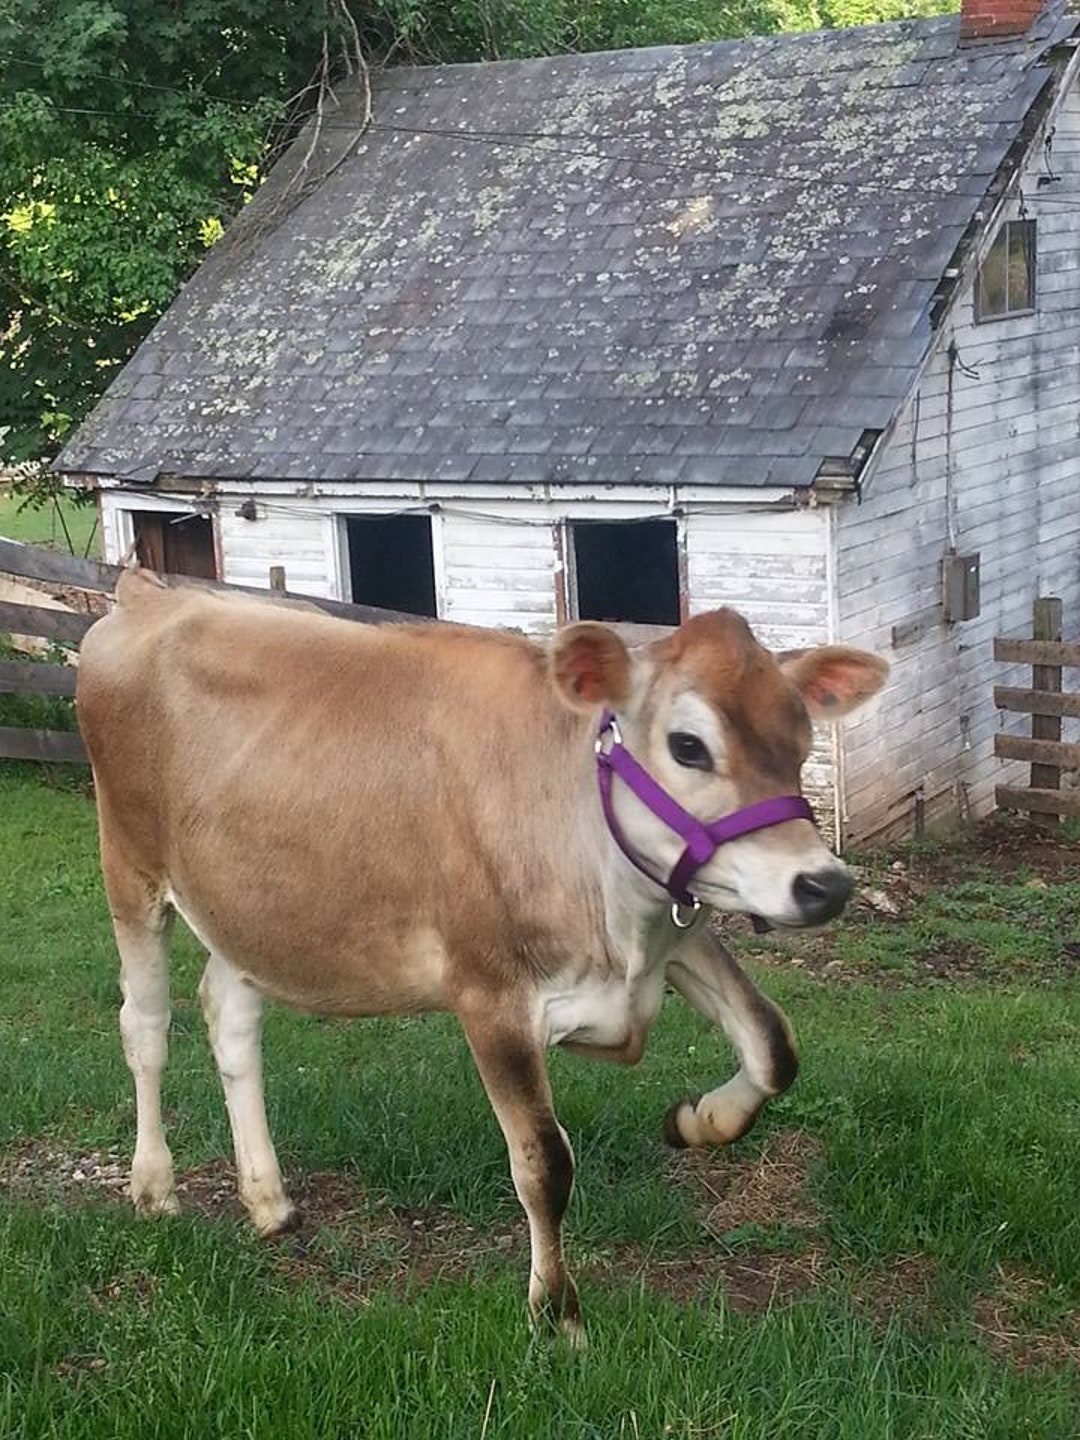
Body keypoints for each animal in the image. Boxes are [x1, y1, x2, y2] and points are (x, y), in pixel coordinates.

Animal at [76, 569, 887, 1343]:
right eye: (689, 745)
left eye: (802, 738)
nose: (823, 884)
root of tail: (151, 594)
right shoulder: (491, 997)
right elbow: (543, 1161)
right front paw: (557, 1315)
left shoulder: (678, 932)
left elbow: (773, 1044)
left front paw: (701, 1120)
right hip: (130, 866)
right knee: (145, 1026)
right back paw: (154, 1186)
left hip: (251, 906)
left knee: (231, 1018)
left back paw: (269, 1199)